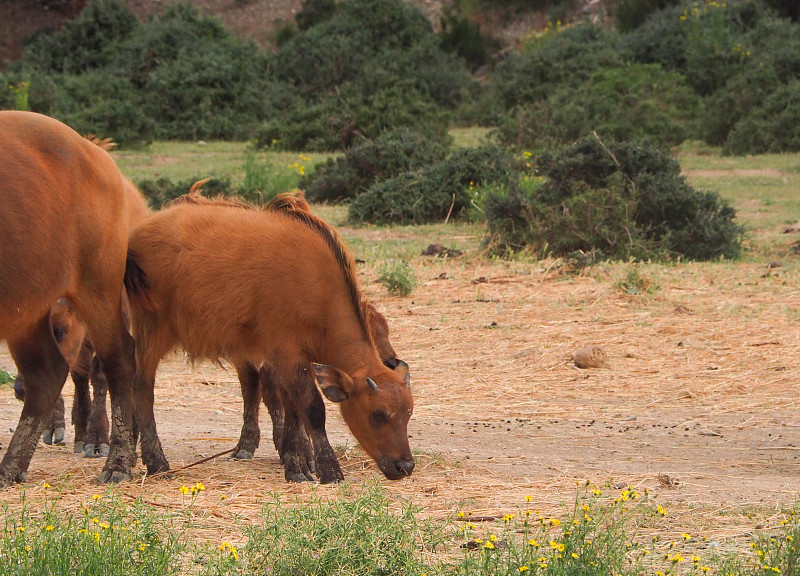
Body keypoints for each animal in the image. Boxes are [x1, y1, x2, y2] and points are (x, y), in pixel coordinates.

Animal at [0, 111, 136, 486]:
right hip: (27, 307)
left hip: (98, 285)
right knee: (46, 372)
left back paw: (117, 462)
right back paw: (11, 467)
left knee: (118, 359)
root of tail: (95, 154)